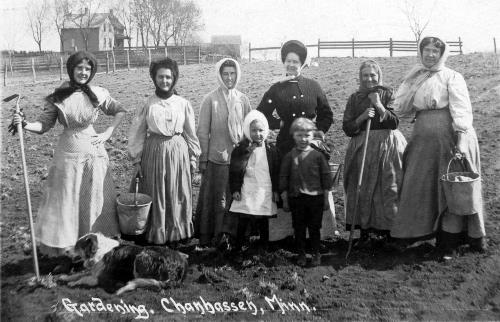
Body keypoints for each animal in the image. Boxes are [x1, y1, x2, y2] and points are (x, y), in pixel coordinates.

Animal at [58, 233, 189, 296]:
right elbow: (79, 274)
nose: (65, 250)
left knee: (146, 282)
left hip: (142, 255)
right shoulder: (94, 271)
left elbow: (83, 278)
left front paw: (72, 283)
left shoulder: (99, 278)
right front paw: (65, 277)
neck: (99, 251)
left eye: (77, 246)